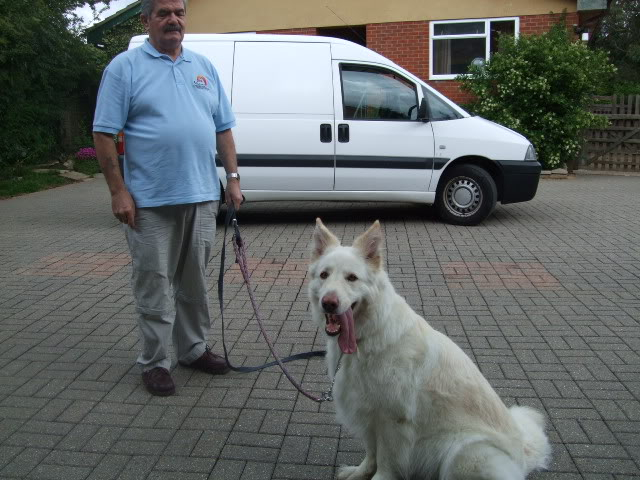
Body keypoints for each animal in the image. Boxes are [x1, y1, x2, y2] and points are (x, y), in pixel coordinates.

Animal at [308, 218, 552, 480]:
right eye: (324, 275)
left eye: (351, 278)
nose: (328, 303)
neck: (366, 339)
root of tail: (523, 455)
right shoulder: (367, 413)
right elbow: (371, 454)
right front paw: (360, 472)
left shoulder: (393, 421)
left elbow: (384, 461)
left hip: (463, 452)